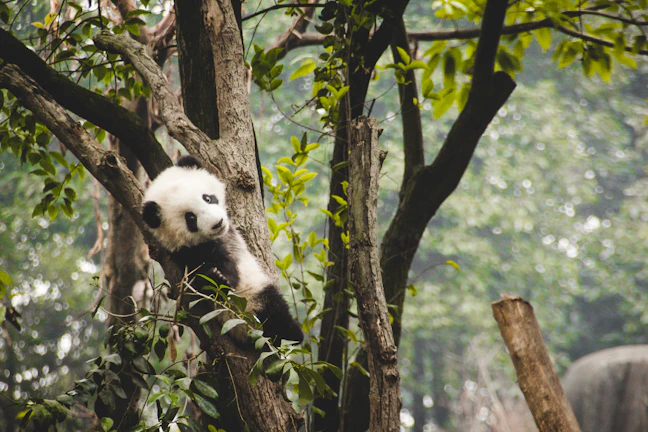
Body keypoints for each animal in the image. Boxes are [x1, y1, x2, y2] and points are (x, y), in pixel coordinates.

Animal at [141, 155, 303, 344]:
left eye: (207, 198)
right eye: (191, 218)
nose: (217, 223)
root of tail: (246, 329)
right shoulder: (185, 252)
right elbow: (208, 274)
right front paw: (216, 277)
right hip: (254, 298)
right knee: (276, 310)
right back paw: (293, 333)